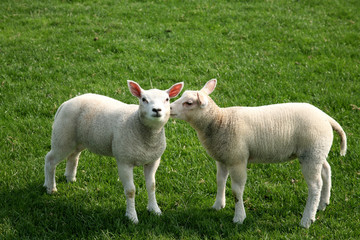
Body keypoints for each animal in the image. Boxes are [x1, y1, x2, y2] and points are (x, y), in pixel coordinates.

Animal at [44, 80, 184, 223]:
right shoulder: (124, 161)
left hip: (79, 139)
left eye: (167, 99)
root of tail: (65, 103)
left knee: (73, 156)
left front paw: (155, 210)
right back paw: (50, 187)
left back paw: (70, 178)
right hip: (62, 137)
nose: (156, 110)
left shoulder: (153, 160)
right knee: (50, 160)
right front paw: (132, 217)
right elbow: (130, 191)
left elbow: (151, 186)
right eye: (144, 99)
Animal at [170, 79, 348, 229]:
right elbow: (220, 181)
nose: (169, 108)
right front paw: (218, 205)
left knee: (315, 186)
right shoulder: (222, 157)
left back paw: (307, 220)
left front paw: (239, 217)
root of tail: (326, 118)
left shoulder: (237, 160)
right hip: (317, 152)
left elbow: (237, 190)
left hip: (311, 154)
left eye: (189, 103)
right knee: (326, 171)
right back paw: (323, 204)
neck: (220, 121)